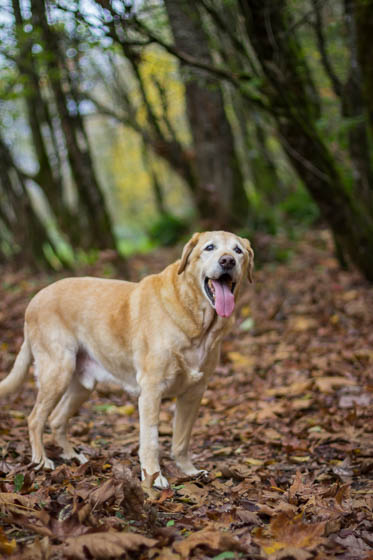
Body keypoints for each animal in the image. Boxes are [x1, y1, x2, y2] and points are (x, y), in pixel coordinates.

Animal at [0, 230, 253, 488]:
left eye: (238, 251)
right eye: (209, 247)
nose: (227, 261)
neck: (197, 320)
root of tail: (34, 299)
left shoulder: (194, 393)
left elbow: (181, 441)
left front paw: (188, 471)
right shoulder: (151, 390)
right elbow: (150, 441)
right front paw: (153, 477)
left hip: (81, 386)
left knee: (57, 419)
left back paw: (72, 456)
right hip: (57, 372)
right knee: (35, 419)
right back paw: (41, 461)